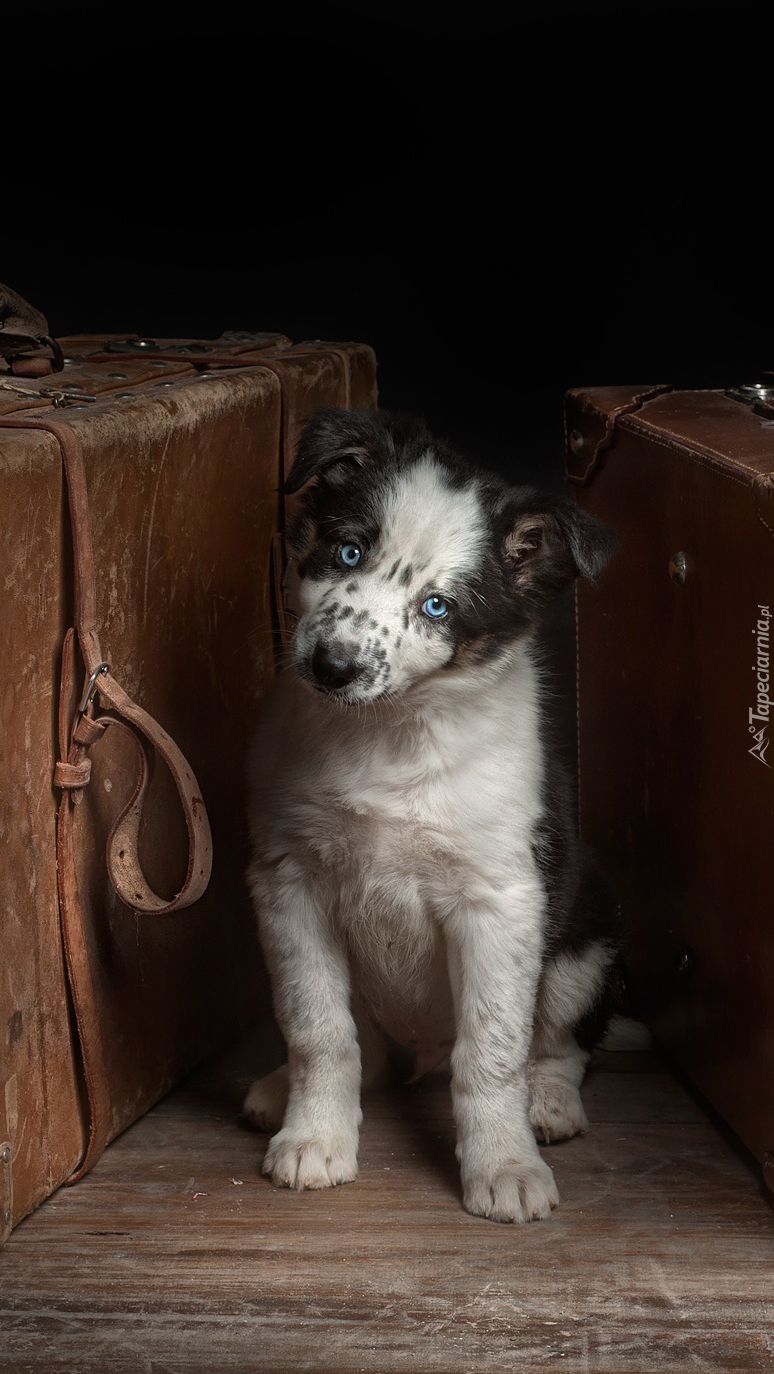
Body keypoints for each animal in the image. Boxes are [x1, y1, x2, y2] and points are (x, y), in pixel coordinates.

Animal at [244, 403, 621, 1225]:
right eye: (347, 550)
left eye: (438, 607)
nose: (332, 667)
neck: (388, 735)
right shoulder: (290, 884)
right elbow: (318, 1030)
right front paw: (315, 1138)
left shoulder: (501, 902)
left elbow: (492, 1051)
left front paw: (504, 1165)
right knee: (366, 1049)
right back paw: (282, 1090)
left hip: (583, 943)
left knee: (562, 1042)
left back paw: (548, 1104)